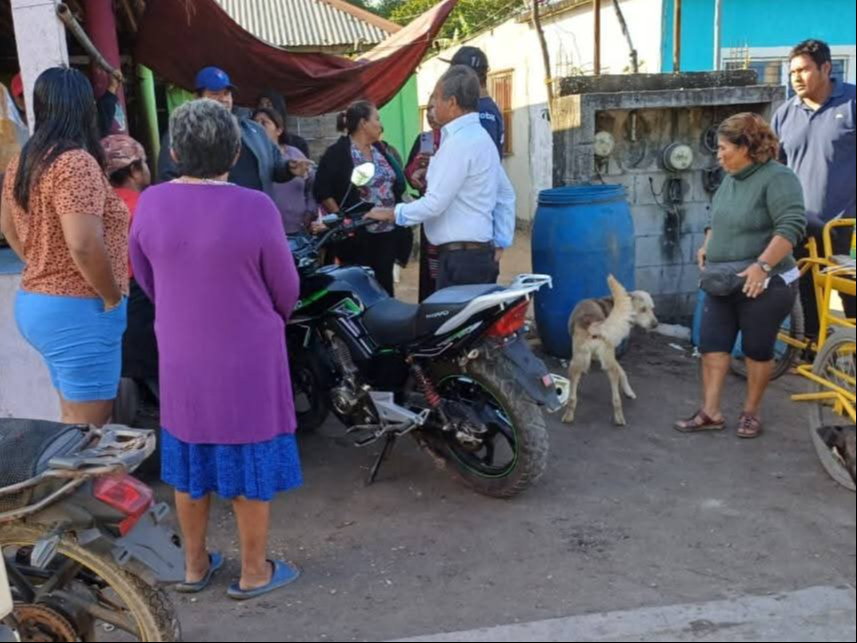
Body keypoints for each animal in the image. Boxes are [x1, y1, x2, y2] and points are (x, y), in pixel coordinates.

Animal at [560, 272, 660, 428]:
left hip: (576, 364)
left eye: (652, 308)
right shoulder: (613, 357)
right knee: (616, 390)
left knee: (573, 397)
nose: (655, 324)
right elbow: (623, 372)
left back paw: (569, 416)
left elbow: (621, 372)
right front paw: (629, 391)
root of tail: (594, 324)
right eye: (643, 309)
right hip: (604, 363)